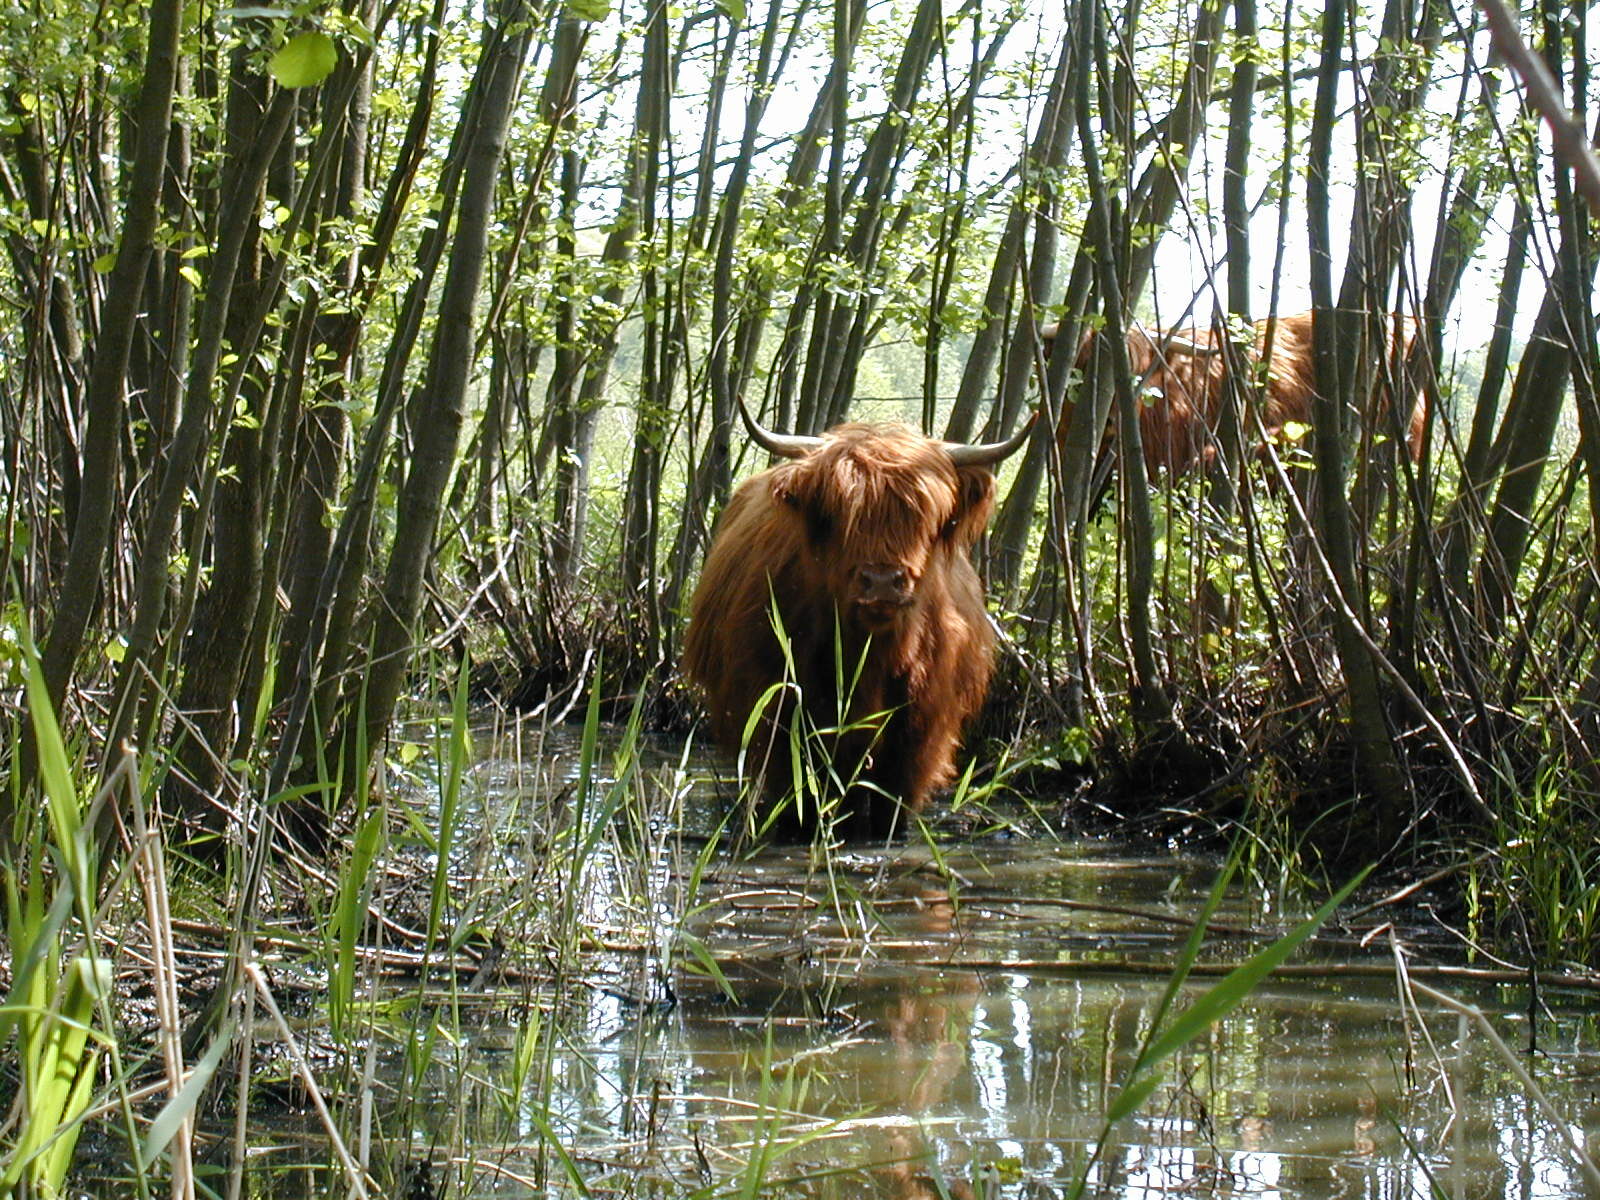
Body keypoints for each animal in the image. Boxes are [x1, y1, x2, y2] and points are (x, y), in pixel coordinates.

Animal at [681, 400, 1030, 838]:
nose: (882, 582)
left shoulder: (919, 731)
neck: (870, 656)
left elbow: (890, 808)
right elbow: (800, 794)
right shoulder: (781, 713)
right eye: (838, 514)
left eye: (924, 517)